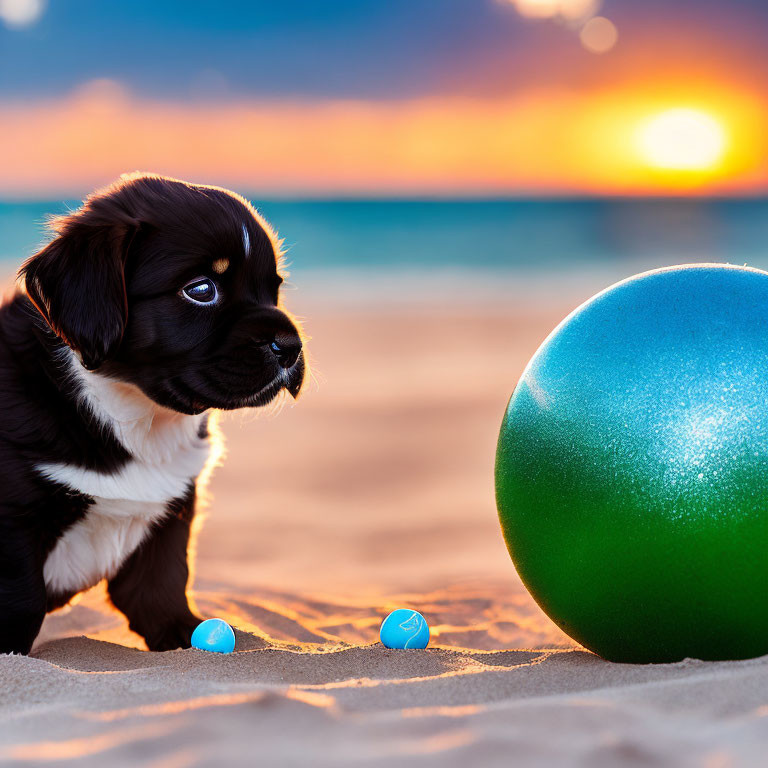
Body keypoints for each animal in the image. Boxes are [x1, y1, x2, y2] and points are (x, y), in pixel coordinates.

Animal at [0, 172, 306, 656]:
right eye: (201, 290)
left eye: (273, 289)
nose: (291, 347)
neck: (133, 415)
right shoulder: (14, 516)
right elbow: (20, 597)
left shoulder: (173, 510)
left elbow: (159, 587)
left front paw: (182, 633)